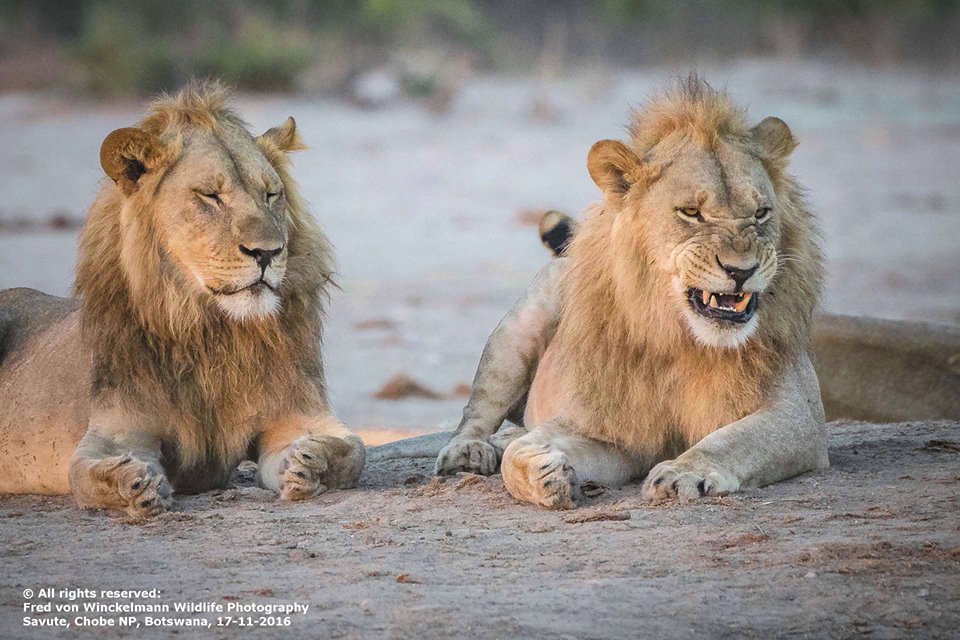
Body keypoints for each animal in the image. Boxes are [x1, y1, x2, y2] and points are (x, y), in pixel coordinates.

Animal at [0, 81, 366, 520]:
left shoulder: (293, 413)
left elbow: (354, 449)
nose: (268, 252)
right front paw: (133, 484)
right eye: (210, 196)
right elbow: (85, 474)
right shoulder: (118, 425)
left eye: (271, 194)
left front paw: (311, 463)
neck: (208, 328)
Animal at [436, 75, 960, 508]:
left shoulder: (799, 416)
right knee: (481, 406)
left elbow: (734, 440)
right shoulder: (613, 431)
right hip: (519, 328)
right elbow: (525, 452)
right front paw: (544, 473)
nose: (741, 271)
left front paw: (682, 473)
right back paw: (471, 450)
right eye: (691, 213)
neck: (681, 340)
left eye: (761, 213)